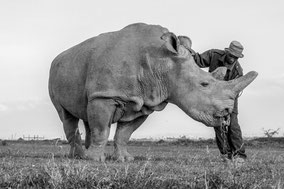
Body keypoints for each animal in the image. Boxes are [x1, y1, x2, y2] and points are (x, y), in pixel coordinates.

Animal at [48, 22, 258, 161]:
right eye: (204, 84)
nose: (228, 111)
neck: (163, 63)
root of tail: (58, 57)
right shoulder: (105, 95)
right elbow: (102, 129)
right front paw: (95, 160)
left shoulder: (143, 103)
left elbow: (124, 134)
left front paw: (124, 159)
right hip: (55, 72)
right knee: (66, 115)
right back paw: (80, 156)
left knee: (85, 113)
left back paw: (82, 154)